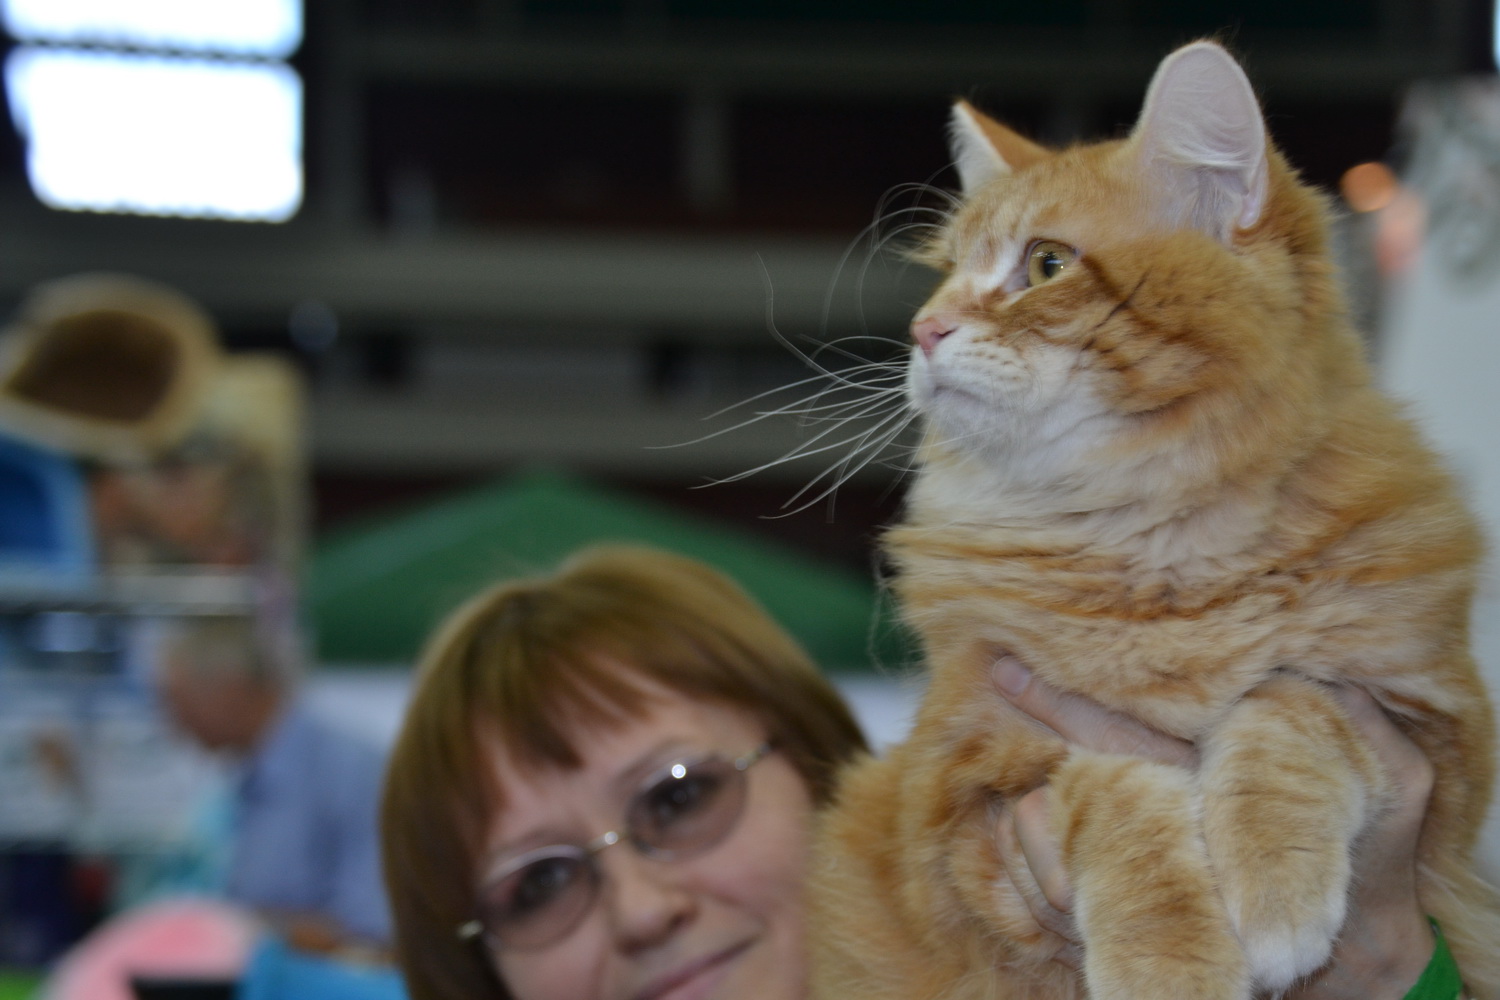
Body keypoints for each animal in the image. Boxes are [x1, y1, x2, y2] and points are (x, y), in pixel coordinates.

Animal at [808, 40, 1500, 1000]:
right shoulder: (964, 784)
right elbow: (1117, 793)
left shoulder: (1437, 728)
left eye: (1047, 265)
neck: (1149, 550)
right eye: (948, 271)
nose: (924, 329)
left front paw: (1274, 888)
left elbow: (1288, 703)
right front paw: (1169, 960)